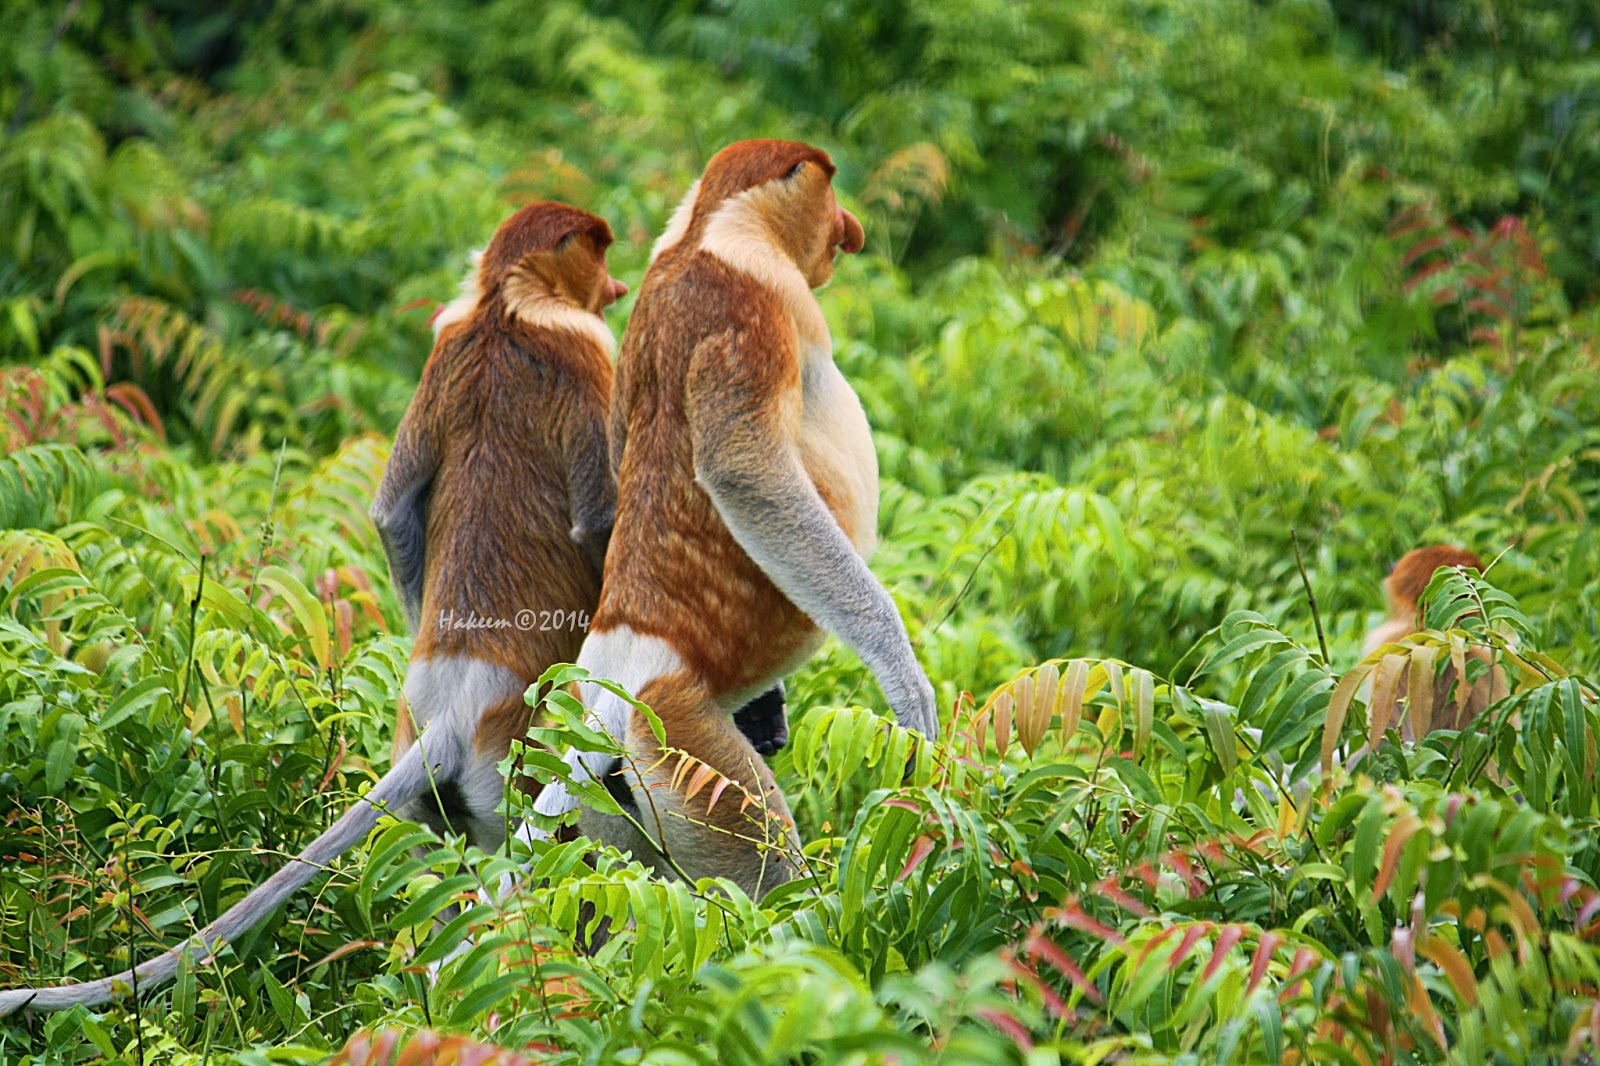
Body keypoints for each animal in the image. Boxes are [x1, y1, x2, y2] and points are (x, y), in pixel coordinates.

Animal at [0, 201, 630, 1011]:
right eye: (598, 252)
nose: (615, 286)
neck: (506, 302)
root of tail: (457, 708)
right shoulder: (584, 347)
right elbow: (596, 525)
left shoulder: (446, 340)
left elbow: (391, 511)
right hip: (517, 779)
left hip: (437, 792)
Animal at [528, 136, 934, 889]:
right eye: (829, 191)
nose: (851, 231)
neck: (705, 231)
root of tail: (617, 690)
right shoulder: (745, 307)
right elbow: (744, 470)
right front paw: (907, 685)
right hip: (687, 750)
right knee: (765, 876)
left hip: (621, 792)